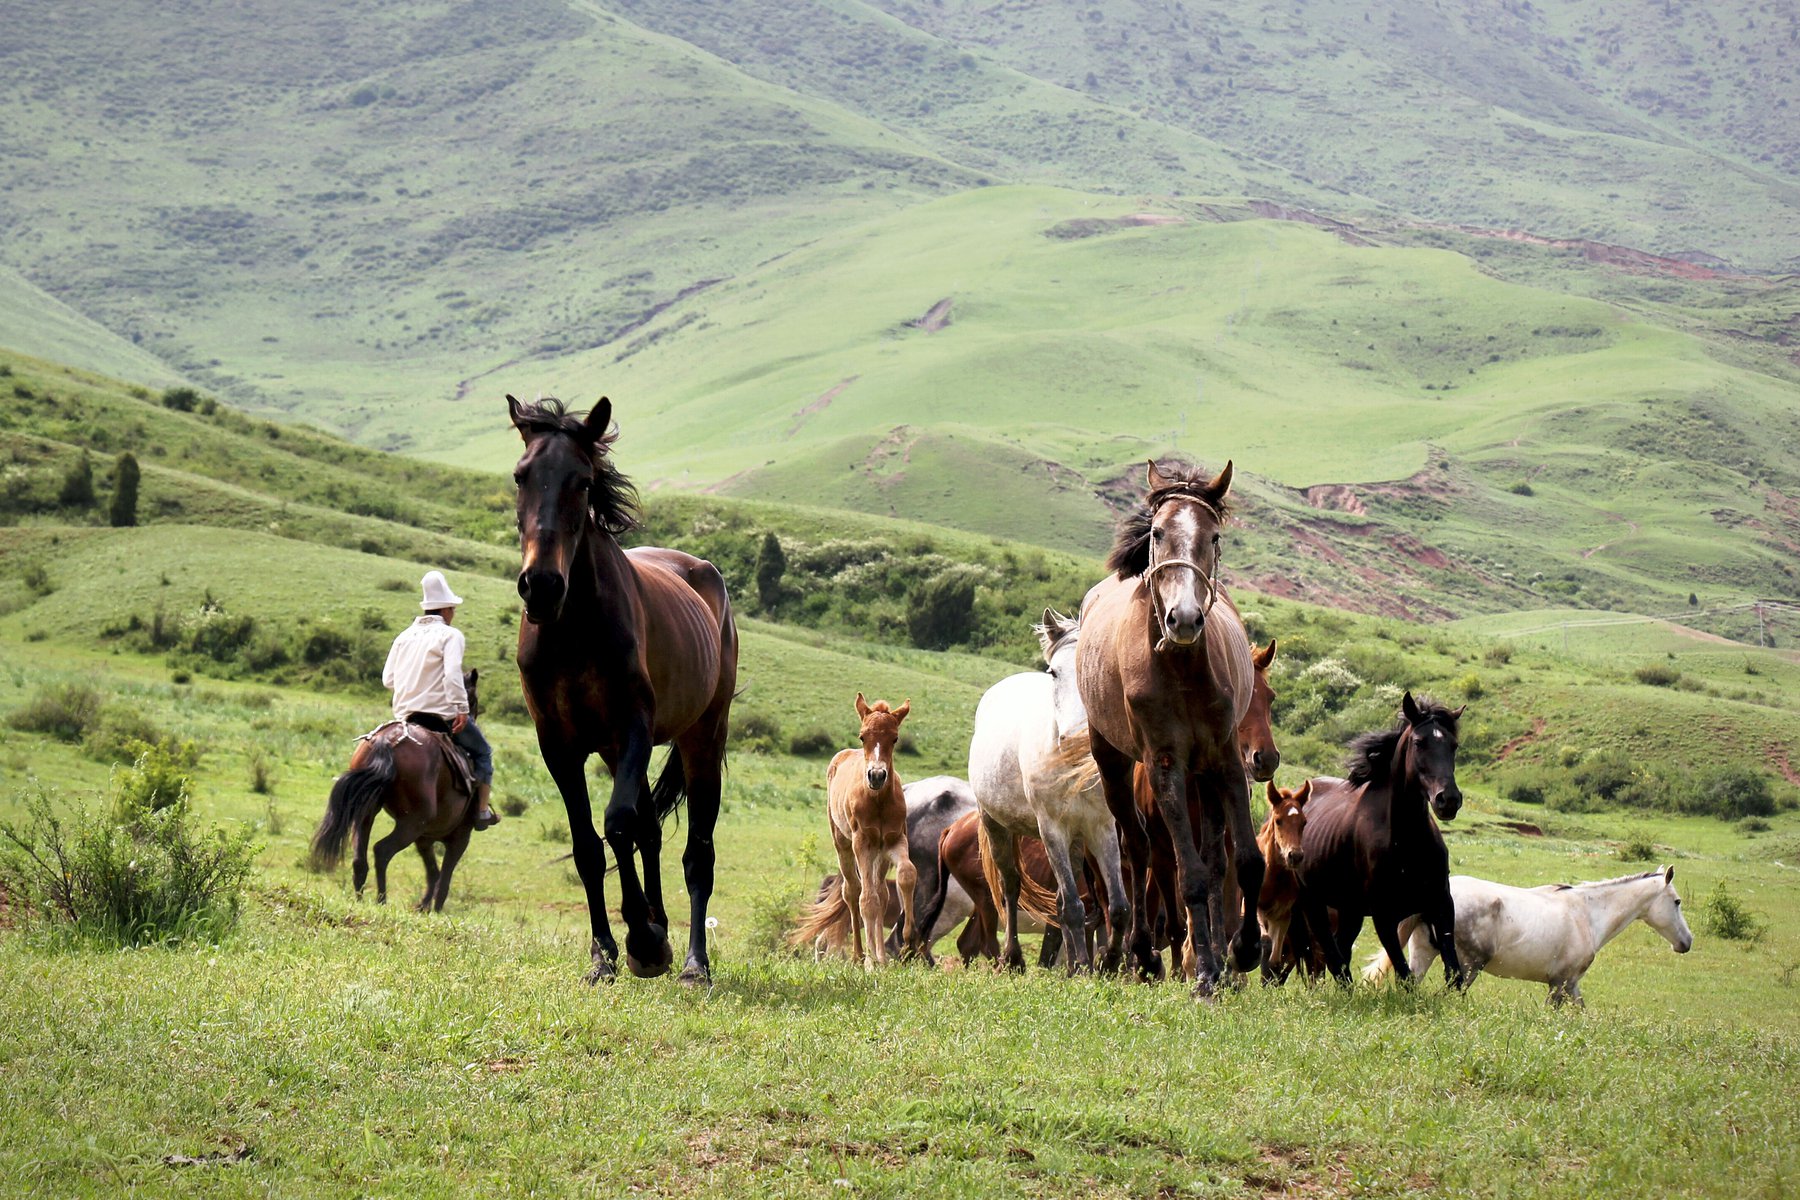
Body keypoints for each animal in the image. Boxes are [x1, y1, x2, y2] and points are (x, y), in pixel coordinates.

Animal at [507, 395, 738, 985]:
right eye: (521, 475)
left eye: (584, 481)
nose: (542, 586)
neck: (574, 628)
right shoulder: (558, 744)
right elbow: (589, 844)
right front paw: (607, 953)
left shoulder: (632, 727)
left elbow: (615, 825)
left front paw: (644, 942)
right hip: (615, 752)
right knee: (648, 830)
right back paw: (658, 927)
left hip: (702, 739)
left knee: (696, 853)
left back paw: (692, 962)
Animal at [824, 694, 914, 964]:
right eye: (863, 736)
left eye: (894, 738)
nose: (876, 775)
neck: (878, 801)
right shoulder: (862, 842)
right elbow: (867, 899)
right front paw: (871, 963)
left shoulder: (895, 840)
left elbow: (907, 874)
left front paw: (907, 941)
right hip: (844, 844)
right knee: (854, 891)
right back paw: (859, 955)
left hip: (879, 854)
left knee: (881, 892)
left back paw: (878, 954)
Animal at [972, 611, 1123, 978]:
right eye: (1054, 672)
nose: (1072, 740)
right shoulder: (1051, 829)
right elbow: (1072, 908)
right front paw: (1083, 967)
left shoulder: (1101, 828)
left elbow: (1117, 906)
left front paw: (1107, 961)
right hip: (997, 826)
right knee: (1011, 888)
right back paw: (1014, 958)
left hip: (1076, 841)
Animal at [1296, 694, 1461, 985]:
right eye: (1419, 742)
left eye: (1453, 745)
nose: (1449, 800)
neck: (1407, 842)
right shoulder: (1384, 917)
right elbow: (1405, 976)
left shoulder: (1441, 904)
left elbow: (1454, 974)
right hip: (1313, 904)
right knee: (1333, 958)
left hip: (1350, 910)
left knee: (1341, 953)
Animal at [1368, 863, 1692, 1007]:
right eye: (1677, 902)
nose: (1686, 943)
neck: (1587, 914)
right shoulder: (1560, 983)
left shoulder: (1570, 985)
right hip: (1467, 967)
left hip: (1423, 953)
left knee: (1411, 984)